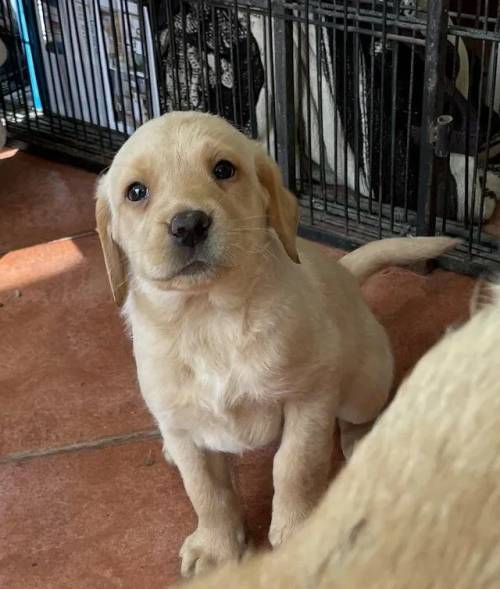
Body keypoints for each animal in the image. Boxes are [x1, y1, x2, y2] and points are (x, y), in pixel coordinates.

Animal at [94, 110, 458, 576]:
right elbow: (206, 491)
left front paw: (297, 530)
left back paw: (363, 441)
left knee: (355, 419)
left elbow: (295, 466)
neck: (209, 318)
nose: (188, 224)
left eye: (223, 170)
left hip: (365, 385)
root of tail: (346, 273)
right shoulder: (179, 419)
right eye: (136, 192)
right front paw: (216, 547)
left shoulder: (309, 398)